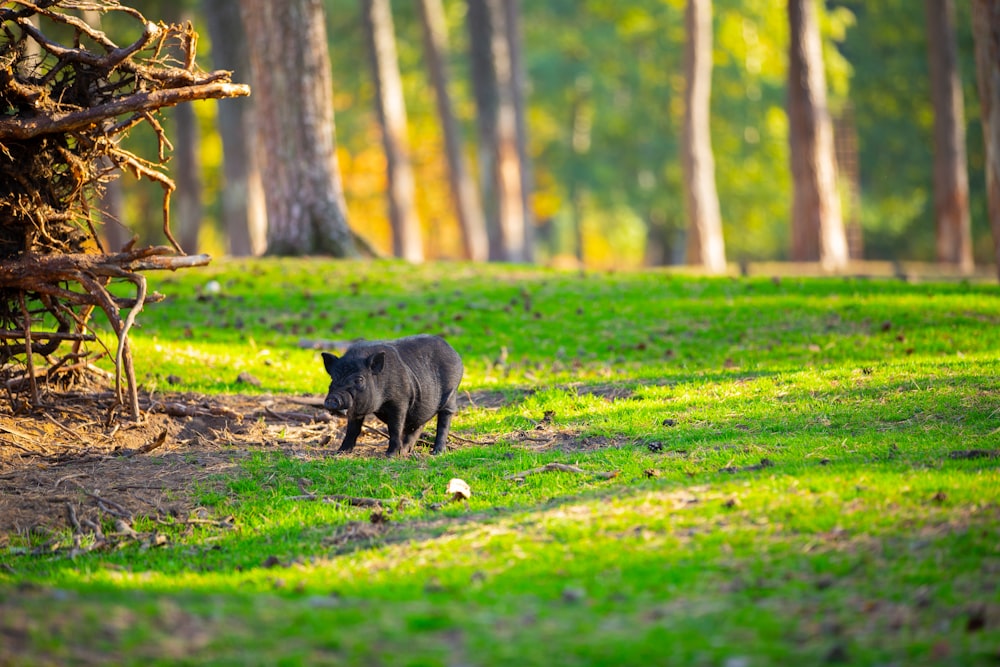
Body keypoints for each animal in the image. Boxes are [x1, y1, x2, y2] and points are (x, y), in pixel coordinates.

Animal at [322, 336, 462, 456]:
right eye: (333, 378)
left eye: (359, 379)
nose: (332, 398)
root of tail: (454, 352)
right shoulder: (357, 410)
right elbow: (352, 430)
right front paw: (340, 452)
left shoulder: (400, 401)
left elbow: (395, 427)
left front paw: (390, 455)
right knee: (418, 425)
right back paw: (405, 451)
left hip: (451, 393)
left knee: (445, 419)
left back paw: (437, 452)